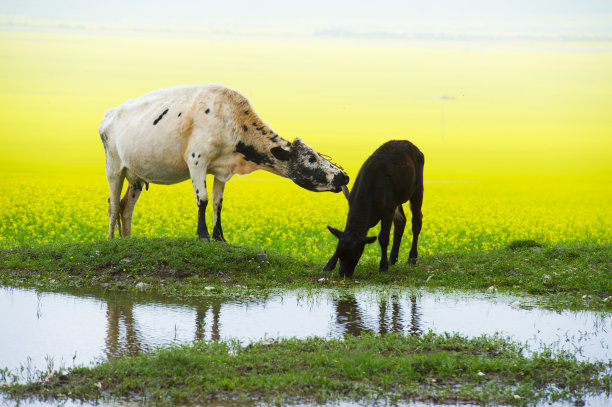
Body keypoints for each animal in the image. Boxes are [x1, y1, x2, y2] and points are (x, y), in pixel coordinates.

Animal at [99, 84, 350, 241]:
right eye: (311, 158)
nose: (344, 176)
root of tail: (110, 112)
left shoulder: (222, 170)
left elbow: (218, 203)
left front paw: (220, 237)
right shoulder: (196, 160)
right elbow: (202, 199)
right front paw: (203, 235)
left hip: (136, 176)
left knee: (126, 207)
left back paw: (127, 240)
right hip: (113, 168)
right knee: (113, 206)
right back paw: (111, 241)